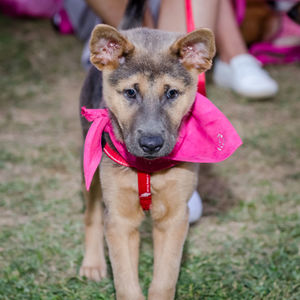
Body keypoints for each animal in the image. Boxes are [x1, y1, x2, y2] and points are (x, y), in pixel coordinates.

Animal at [79, 1, 216, 298]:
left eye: (172, 93)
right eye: (130, 92)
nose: (151, 144)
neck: (148, 169)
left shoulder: (174, 218)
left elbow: (164, 279)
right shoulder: (120, 219)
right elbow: (126, 282)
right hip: (91, 167)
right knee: (92, 213)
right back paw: (93, 263)